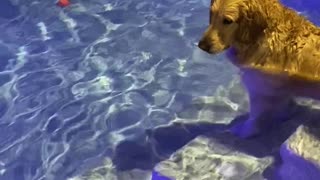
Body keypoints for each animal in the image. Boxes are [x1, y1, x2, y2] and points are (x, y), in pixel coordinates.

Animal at [198, 0, 320, 139]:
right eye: (211, 14)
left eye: (227, 21)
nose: (201, 46)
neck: (262, 34)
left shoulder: (258, 90)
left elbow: (254, 119)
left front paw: (242, 132)